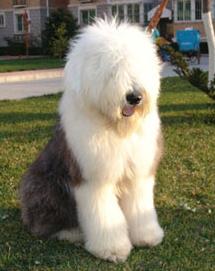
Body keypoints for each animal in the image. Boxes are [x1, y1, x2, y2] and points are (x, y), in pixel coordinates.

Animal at [21, 19, 164, 264]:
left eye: (137, 67)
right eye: (113, 71)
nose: (134, 97)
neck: (116, 128)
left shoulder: (138, 174)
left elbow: (140, 206)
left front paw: (147, 237)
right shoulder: (93, 179)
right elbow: (104, 215)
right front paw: (112, 249)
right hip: (44, 186)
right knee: (44, 224)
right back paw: (72, 233)